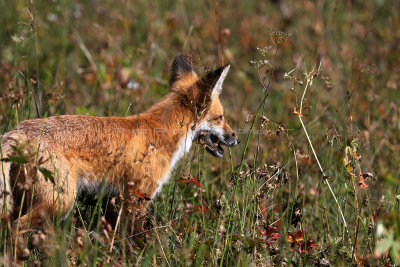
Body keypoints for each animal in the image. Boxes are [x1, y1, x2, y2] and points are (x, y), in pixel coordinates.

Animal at [0, 53, 241, 236]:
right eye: (220, 117)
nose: (236, 139)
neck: (162, 131)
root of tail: (16, 132)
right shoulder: (137, 197)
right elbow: (134, 240)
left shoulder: (115, 200)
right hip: (59, 203)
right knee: (15, 228)